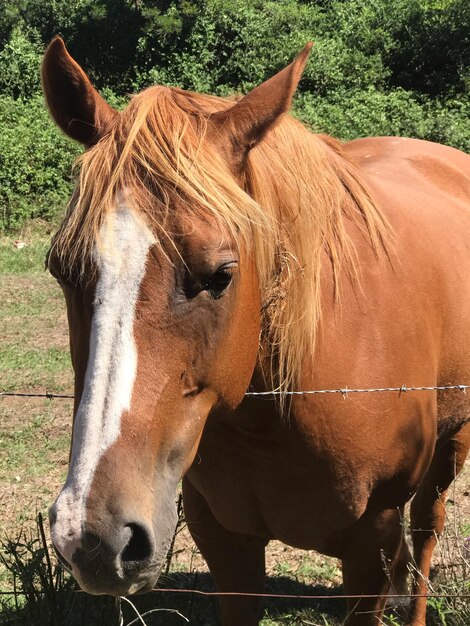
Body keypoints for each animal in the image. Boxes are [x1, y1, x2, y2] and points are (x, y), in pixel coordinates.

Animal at [41, 39, 470, 624]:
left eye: (221, 275)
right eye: (61, 270)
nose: (94, 539)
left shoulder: (373, 541)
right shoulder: (224, 539)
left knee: (428, 527)